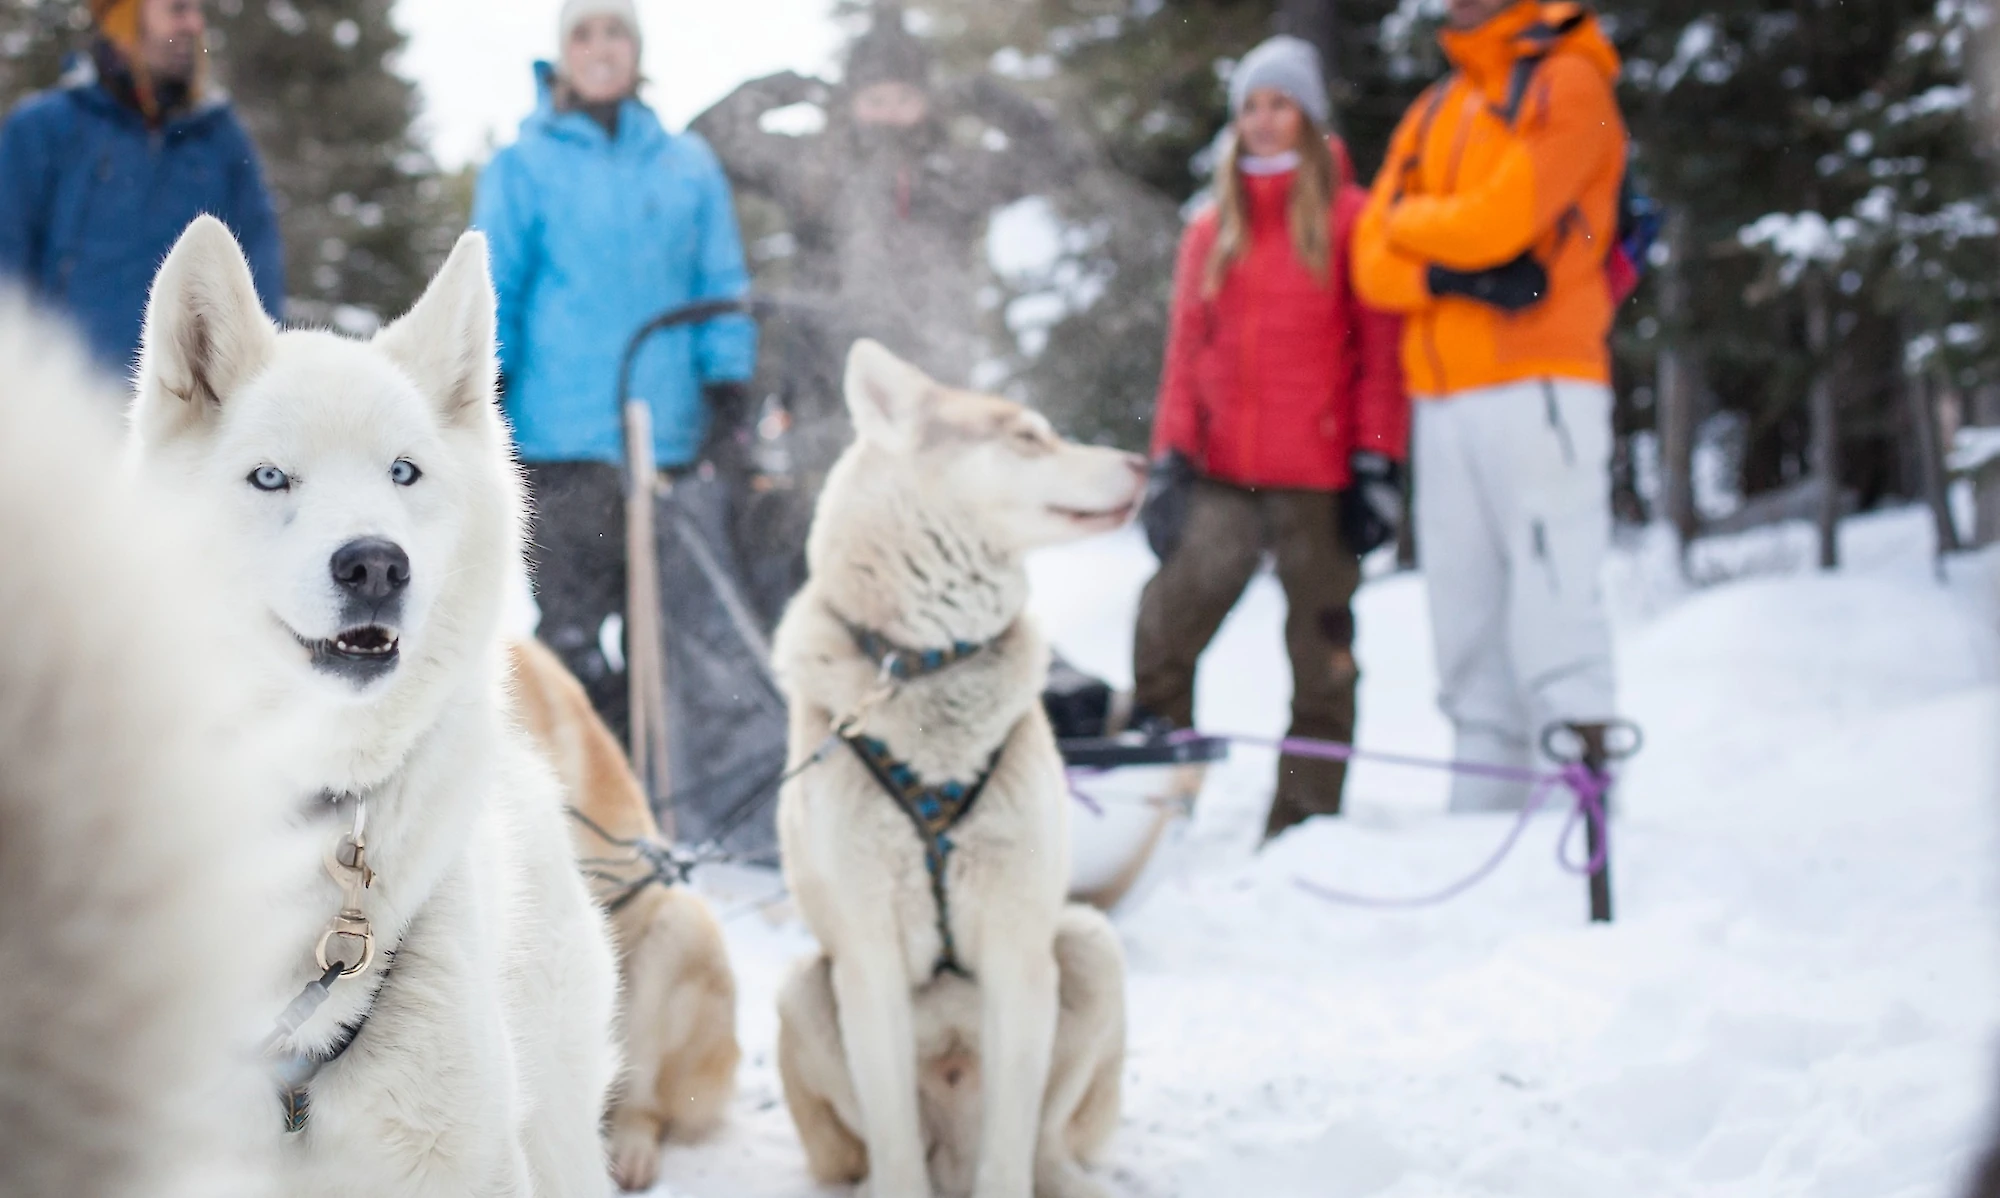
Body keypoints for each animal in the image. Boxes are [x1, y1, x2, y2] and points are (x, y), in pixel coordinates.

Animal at [768, 340, 1144, 1198]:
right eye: (1029, 437)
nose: (1144, 461)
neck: (927, 664)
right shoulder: (866, 959)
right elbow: (894, 1141)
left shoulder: (1018, 952)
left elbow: (1011, 1149)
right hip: (805, 984)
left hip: (1087, 942)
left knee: (1043, 1144)